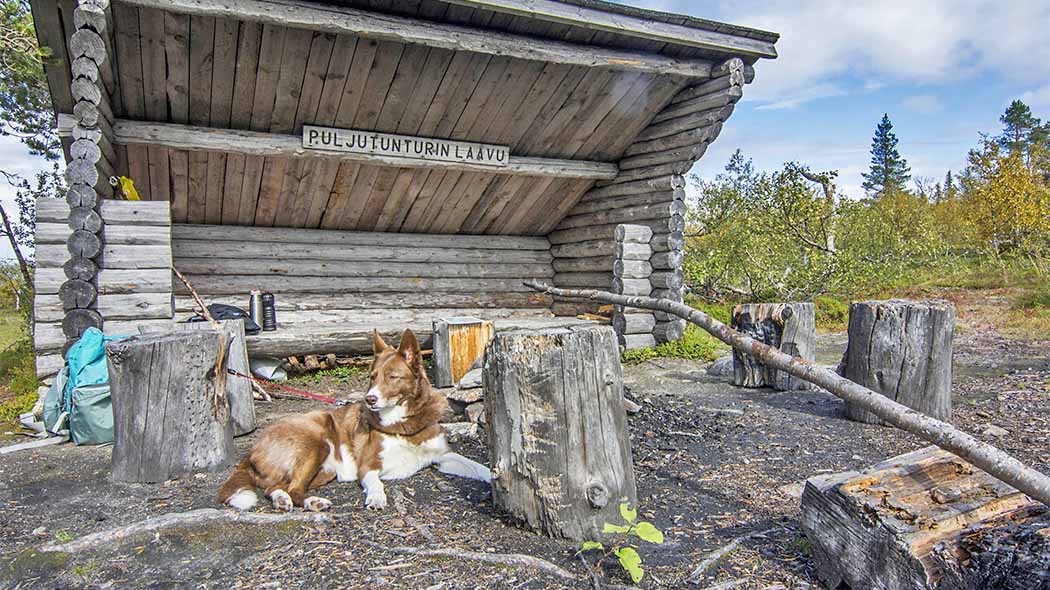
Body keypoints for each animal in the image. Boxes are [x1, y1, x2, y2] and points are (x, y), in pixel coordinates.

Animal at [216, 325, 491, 510]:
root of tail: (251, 450)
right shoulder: (368, 466)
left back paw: (284, 500)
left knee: (277, 487)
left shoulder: (443, 457)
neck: (403, 423)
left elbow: (477, 466)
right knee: (292, 488)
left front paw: (492, 477)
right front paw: (377, 498)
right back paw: (312, 502)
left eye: (392, 377)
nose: (370, 399)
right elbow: (377, 483)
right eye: (372, 376)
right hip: (315, 441)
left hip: (323, 471)